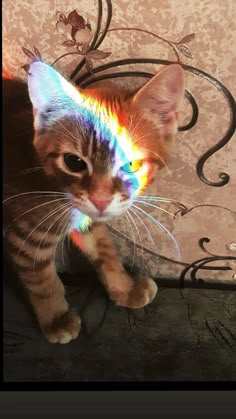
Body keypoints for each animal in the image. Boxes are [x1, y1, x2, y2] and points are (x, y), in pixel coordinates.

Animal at [2, 60, 185, 344]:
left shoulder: (89, 217)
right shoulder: (27, 233)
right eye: (73, 162)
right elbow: (41, 279)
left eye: (132, 165)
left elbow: (104, 250)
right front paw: (57, 319)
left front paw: (125, 287)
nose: (100, 198)